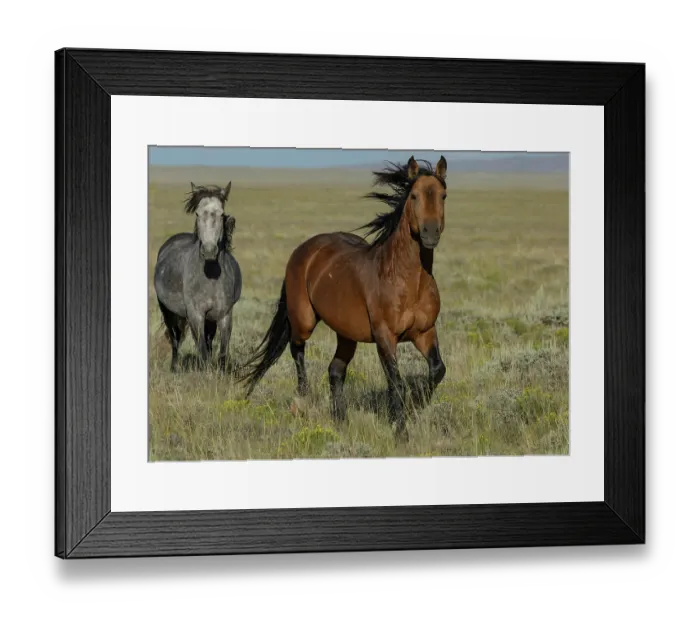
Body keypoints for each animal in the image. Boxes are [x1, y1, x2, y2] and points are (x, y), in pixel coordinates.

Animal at [154, 182, 242, 372]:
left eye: (221, 213)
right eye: (197, 213)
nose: (209, 251)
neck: (210, 277)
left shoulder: (224, 314)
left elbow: (222, 351)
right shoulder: (196, 315)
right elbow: (201, 349)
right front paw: (205, 374)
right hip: (168, 312)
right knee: (175, 338)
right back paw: (174, 368)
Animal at [237, 156, 448, 439]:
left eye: (443, 195)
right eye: (413, 195)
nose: (430, 233)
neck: (407, 280)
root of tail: (305, 249)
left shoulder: (425, 332)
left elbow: (437, 370)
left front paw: (417, 402)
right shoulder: (385, 337)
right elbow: (396, 383)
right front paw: (400, 431)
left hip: (346, 334)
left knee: (335, 370)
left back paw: (341, 420)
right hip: (304, 319)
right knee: (296, 348)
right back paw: (302, 399)